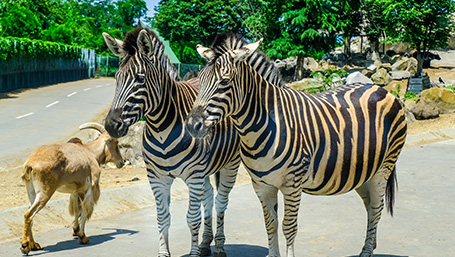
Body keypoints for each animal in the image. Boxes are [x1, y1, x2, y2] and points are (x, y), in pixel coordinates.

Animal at [100, 26, 242, 256]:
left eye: (140, 79)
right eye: (116, 77)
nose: (112, 125)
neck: (161, 128)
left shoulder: (193, 176)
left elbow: (192, 219)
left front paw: (193, 254)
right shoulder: (157, 177)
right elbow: (162, 217)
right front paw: (164, 252)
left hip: (230, 164)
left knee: (221, 201)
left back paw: (219, 246)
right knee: (209, 196)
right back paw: (205, 243)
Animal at [186, 34, 410, 256]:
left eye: (224, 81)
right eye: (200, 80)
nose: (191, 126)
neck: (266, 123)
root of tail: (378, 88)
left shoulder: (292, 184)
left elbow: (288, 227)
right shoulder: (262, 185)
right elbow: (270, 225)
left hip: (384, 167)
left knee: (376, 208)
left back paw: (366, 251)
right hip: (362, 171)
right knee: (370, 205)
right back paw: (371, 245)